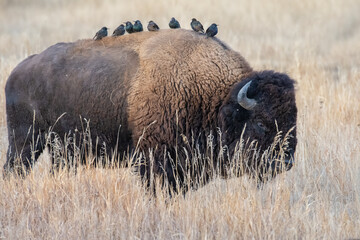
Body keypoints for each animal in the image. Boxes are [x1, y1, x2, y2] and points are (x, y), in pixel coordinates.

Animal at [3, 28, 298, 189]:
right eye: (260, 123)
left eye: (292, 121)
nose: (286, 162)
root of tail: (17, 72)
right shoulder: (155, 158)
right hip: (25, 142)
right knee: (14, 168)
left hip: (61, 150)